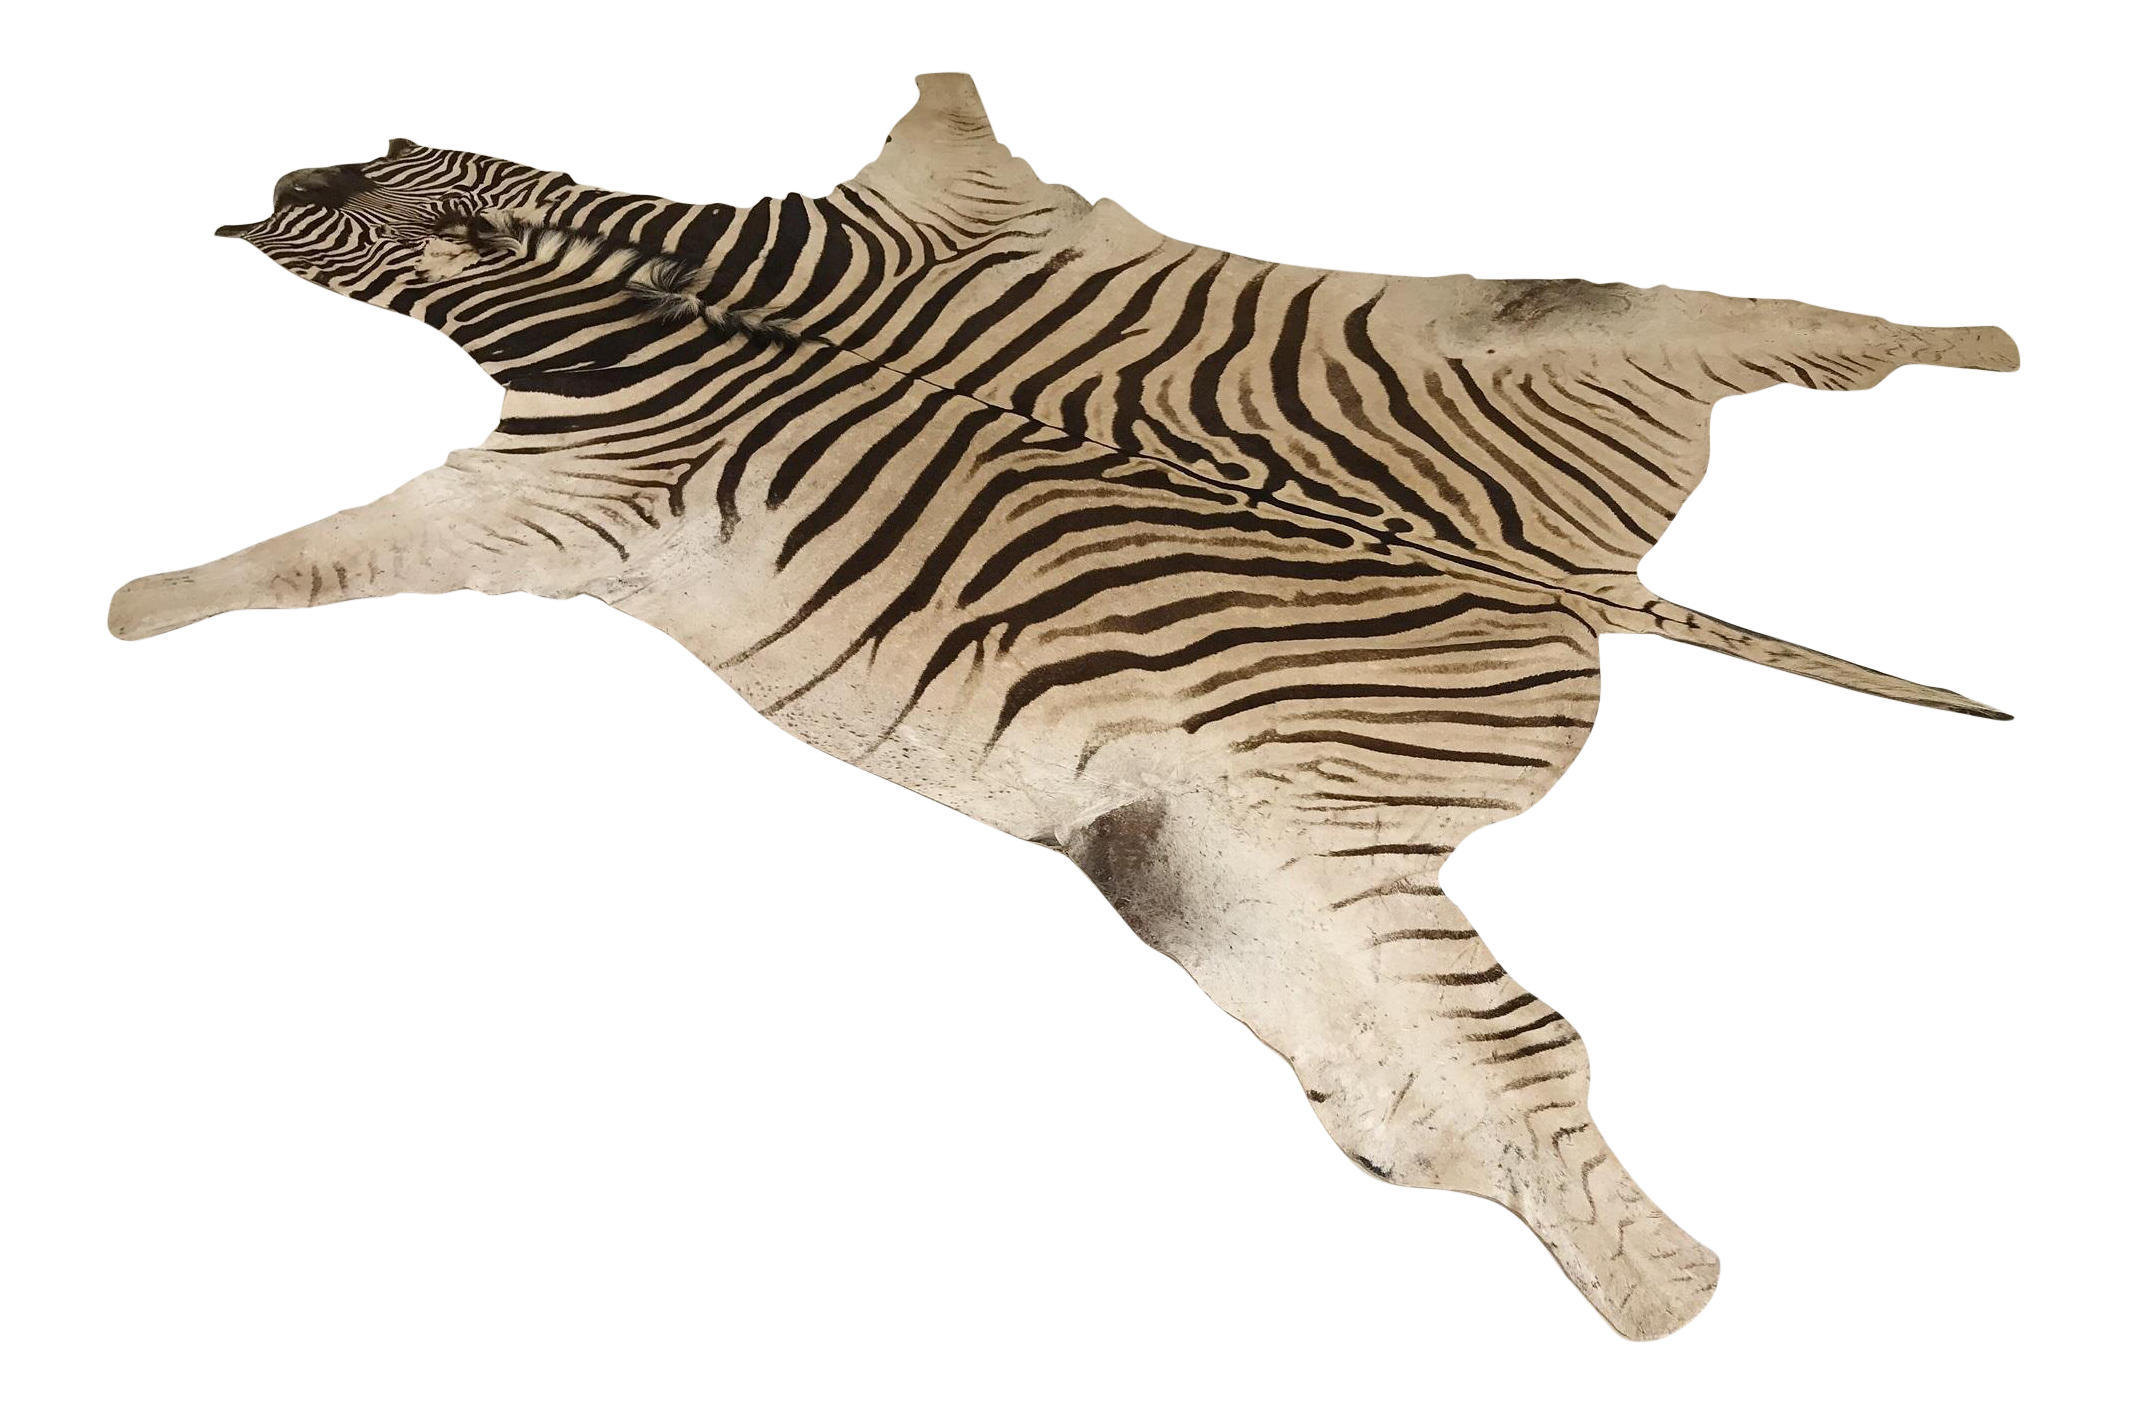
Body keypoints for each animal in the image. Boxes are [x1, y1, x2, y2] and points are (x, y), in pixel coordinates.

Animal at [112, 73, 2016, 1340]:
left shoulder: (563, 480)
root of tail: (1567, 586)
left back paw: (1653, 1301)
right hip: (1245, 821)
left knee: (1499, 1059)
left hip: (1377, 570)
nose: (269, 175)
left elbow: (288, 559)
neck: (640, 280)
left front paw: (124, 604)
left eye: (333, 195)